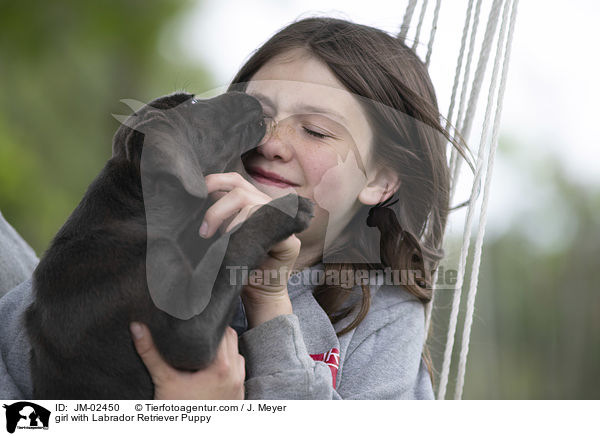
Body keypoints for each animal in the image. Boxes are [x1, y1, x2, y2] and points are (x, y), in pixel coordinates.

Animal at [23, 92, 314, 398]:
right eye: (194, 104)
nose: (251, 96)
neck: (140, 213)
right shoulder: (189, 330)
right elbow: (232, 246)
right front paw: (286, 207)